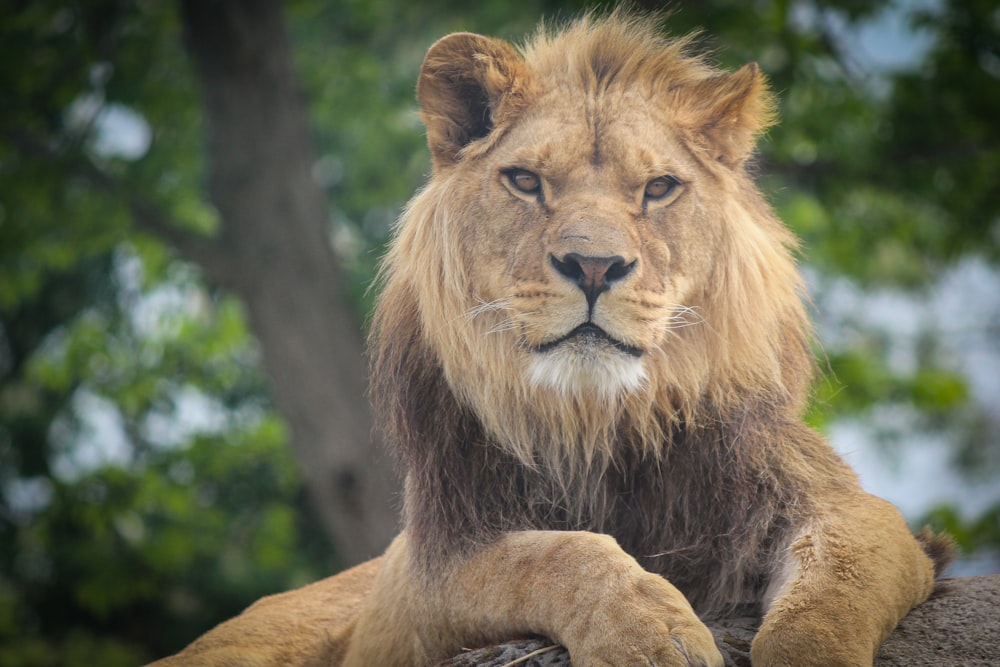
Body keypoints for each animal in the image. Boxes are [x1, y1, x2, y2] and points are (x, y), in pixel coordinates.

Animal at [150, 10, 952, 667]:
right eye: (526, 181)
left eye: (659, 188)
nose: (594, 265)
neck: (595, 422)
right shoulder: (441, 558)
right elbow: (560, 555)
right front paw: (647, 631)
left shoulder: (840, 508)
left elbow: (820, 612)